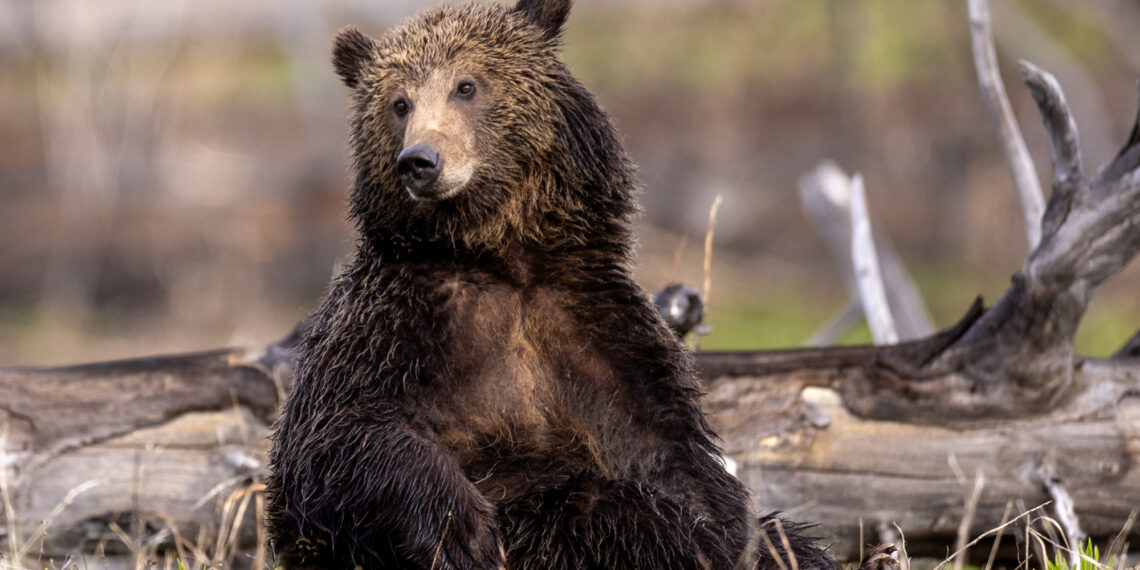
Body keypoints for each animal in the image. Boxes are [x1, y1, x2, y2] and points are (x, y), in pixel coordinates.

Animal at [265, 1, 839, 569]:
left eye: (466, 86)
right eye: (398, 103)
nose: (419, 161)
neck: (502, 262)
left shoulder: (597, 332)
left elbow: (677, 459)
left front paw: (735, 529)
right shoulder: (392, 324)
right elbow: (334, 442)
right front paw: (463, 531)